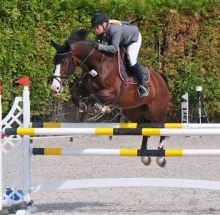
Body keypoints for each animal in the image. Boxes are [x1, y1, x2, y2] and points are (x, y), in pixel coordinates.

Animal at [50, 29, 170, 167]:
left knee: (161, 128)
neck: (97, 65)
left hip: (156, 113)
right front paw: (83, 107)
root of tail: (160, 78)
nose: (55, 87)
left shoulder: (112, 92)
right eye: (54, 62)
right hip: (133, 112)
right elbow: (76, 96)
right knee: (145, 126)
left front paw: (102, 108)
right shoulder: (85, 89)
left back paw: (160, 157)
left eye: (64, 62)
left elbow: (93, 97)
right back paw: (145, 155)